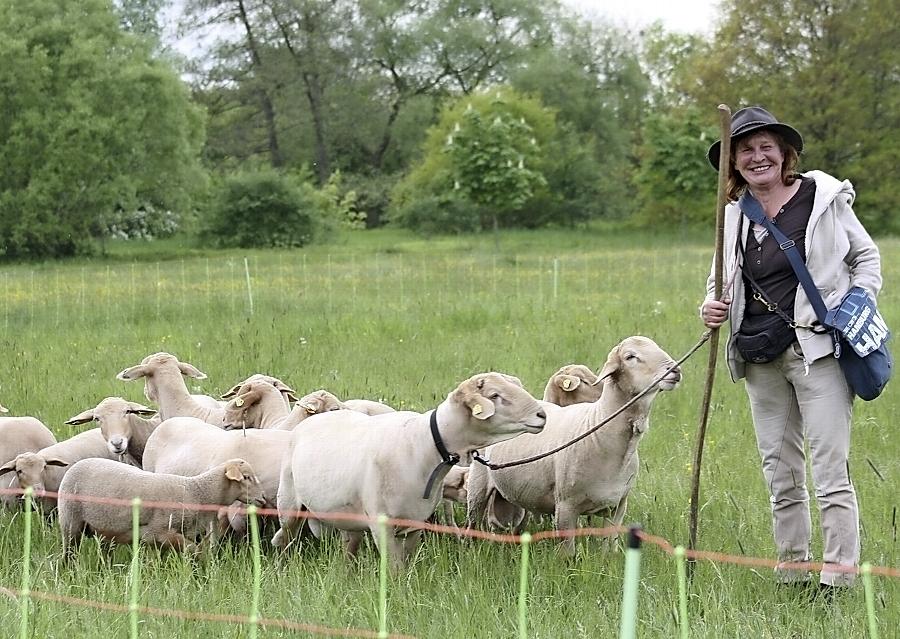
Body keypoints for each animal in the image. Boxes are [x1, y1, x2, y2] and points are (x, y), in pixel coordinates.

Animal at [56, 456, 264, 556]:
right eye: (246, 477)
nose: (263, 498)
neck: (196, 491)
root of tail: (75, 466)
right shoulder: (158, 532)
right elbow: (193, 550)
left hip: (105, 529)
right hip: (70, 521)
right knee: (68, 554)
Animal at [270, 372, 544, 568]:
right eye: (495, 395)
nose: (542, 415)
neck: (422, 444)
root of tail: (311, 419)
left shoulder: (414, 522)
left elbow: (405, 567)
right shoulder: (382, 525)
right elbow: (393, 568)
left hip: (351, 516)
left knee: (349, 549)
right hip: (289, 503)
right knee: (284, 539)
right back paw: (284, 569)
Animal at [464, 340, 684, 556]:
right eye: (630, 356)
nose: (675, 370)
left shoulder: (618, 506)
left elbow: (609, 548)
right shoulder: (565, 507)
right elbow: (568, 554)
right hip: (477, 486)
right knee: (472, 522)